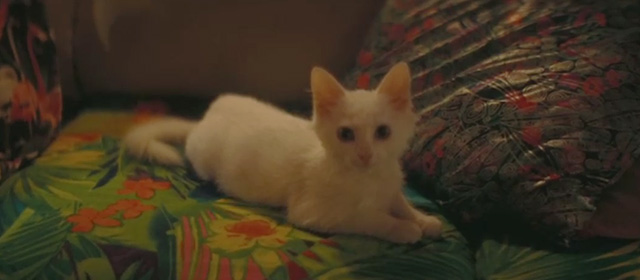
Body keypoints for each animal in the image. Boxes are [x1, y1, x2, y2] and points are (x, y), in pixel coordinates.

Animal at [125, 63, 444, 243]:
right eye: (345, 135)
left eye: (383, 132)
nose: (365, 154)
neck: (369, 179)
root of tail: (206, 116)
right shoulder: (314, 212)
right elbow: (368, 218)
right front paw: (402, 229)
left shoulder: (390, 185)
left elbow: (399, 201)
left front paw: (423, 219)